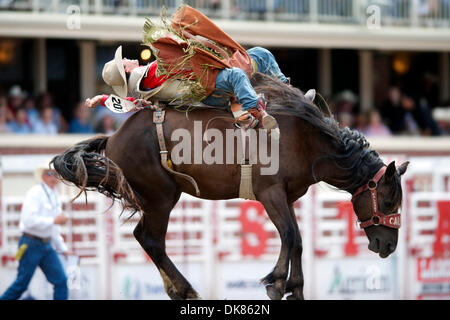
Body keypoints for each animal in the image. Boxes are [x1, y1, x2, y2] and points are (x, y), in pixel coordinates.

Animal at [51, 74, 410, 300]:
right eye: (388, 201)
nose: (389, 246)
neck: (306, 140)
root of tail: (114, 137)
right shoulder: (270, 193)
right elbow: (289, 235)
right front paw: (277, 283)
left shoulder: (287, 196)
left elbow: (297, 239)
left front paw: (296, 287)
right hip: (160, 197)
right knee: (150, 239)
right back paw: (185, 290)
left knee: (148, 240)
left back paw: (176, 289)